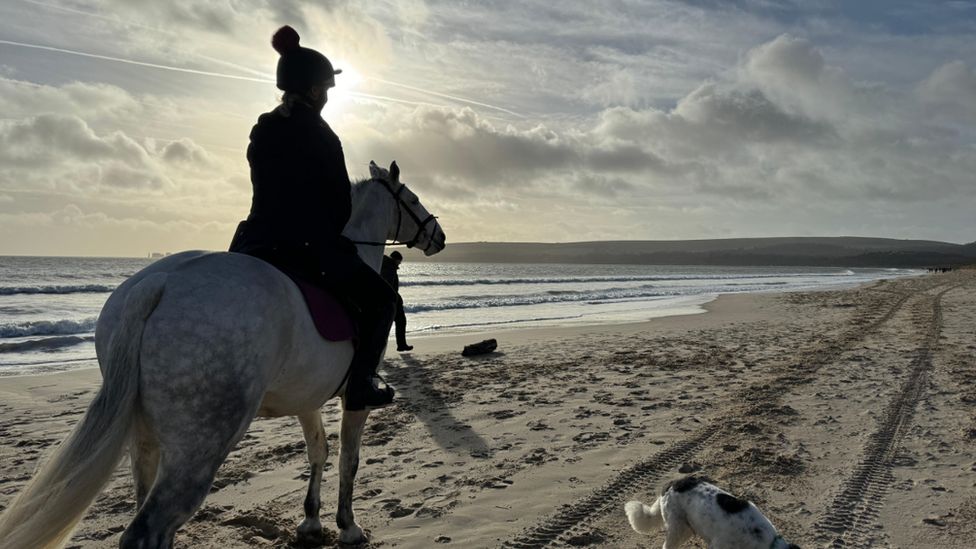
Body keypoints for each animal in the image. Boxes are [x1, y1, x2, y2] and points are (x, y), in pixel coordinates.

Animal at [0, 161, 446, 544]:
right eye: (412, 197)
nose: (439, 236)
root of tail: (159, 282)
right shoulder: (356, 400)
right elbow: (347, 459)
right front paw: (348, 527)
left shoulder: (307, 399)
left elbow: (317, 451)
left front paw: (311, 521)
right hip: (201, 441)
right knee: (148, 529)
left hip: (144, 437)